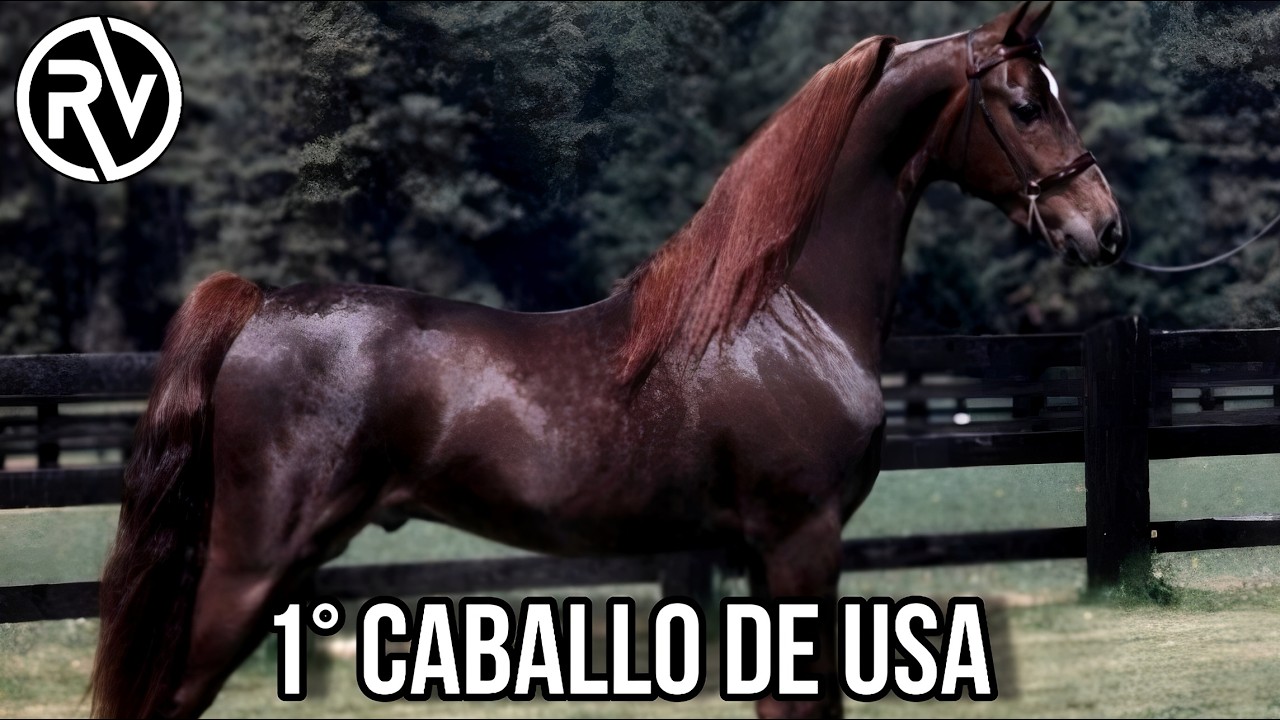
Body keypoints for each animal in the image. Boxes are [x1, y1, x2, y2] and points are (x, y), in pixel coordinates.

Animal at [91, 2, 1125, 717]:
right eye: (1026, 105)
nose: (1104, 228)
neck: (787, 310)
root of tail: (259, 307)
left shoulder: (764, 553)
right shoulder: (802, 538)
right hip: (250, 566)